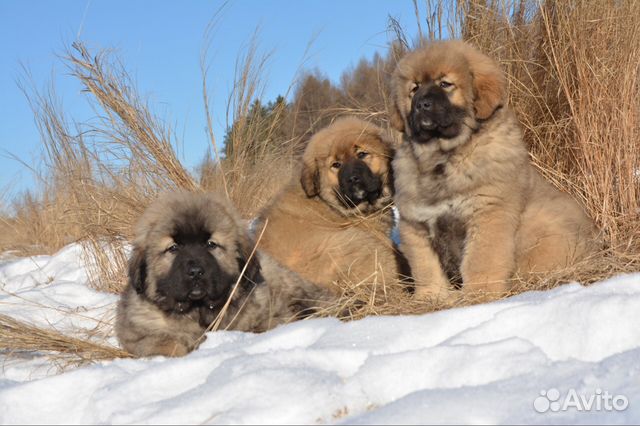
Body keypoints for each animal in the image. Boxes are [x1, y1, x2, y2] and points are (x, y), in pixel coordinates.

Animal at [116, 191, 336, 358]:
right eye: (173, 248)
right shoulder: (138, 334)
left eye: (211, 244)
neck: (198, 311)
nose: (195, 272)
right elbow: (165, 343)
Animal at [388, 40, 604, 300]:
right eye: (414, 89)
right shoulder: (416, 223)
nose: (421, 104)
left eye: (445, 84)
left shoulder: (488, 213)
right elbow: (425, 267)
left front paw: (480, 294)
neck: (445, 158)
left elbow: (481, 260)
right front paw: (430, 297)